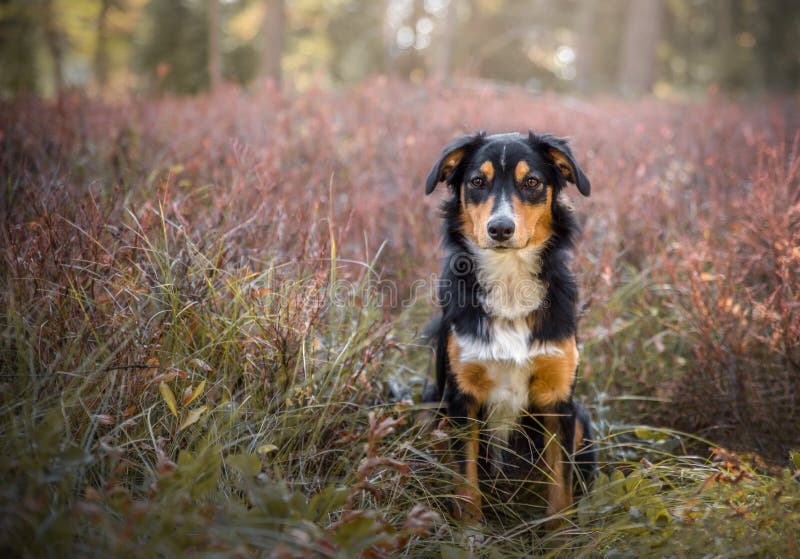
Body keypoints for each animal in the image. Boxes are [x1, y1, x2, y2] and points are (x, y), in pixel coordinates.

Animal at [424, 130, 592, 528]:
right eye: (477, 182)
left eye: (531, 182)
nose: (500, 228)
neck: (510, 279)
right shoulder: (461, 398)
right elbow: (466, 483)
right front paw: (470, 533)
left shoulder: (558, 401)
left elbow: (560, 491)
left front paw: (561, 536)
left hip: (582, 418)